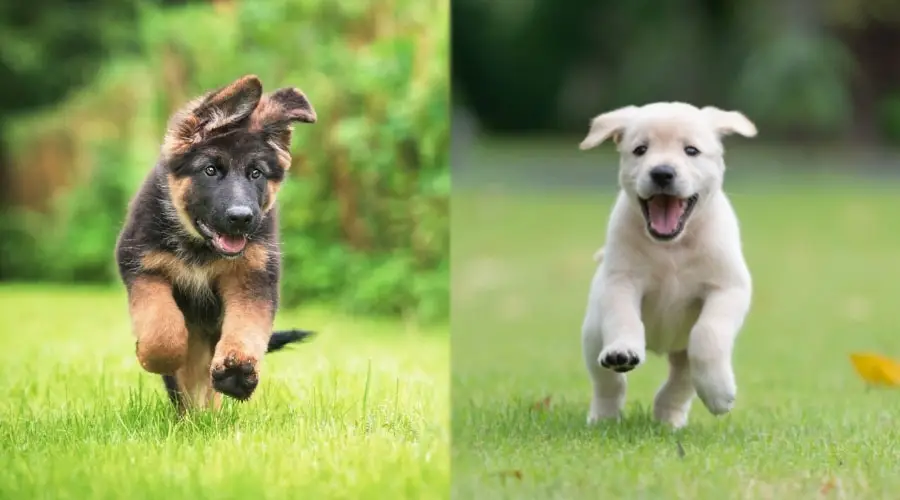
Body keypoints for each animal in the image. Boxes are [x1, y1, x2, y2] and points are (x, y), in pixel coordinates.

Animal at [114, 74, 316, 414]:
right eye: (210, 170)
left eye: (255, 173)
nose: (241, 218)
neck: (201, 249)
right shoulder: (142, 267)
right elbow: (161, 329)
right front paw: (156, 356)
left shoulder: (253, 276)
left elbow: (247, 326)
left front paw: (237, 371)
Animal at [580, 102, 756, 430]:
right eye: (640, 149)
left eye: (691, 150)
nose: (662, 172)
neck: (671, 247)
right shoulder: (620, 281)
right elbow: (624, 318)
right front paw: (623, 349)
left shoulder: (728, 287)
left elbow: (708, 333)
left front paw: (719, 393)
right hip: (593, 334)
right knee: (607, 382)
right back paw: (605, 416)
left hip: (682, 353)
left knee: (682, 381)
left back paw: (669, 417)